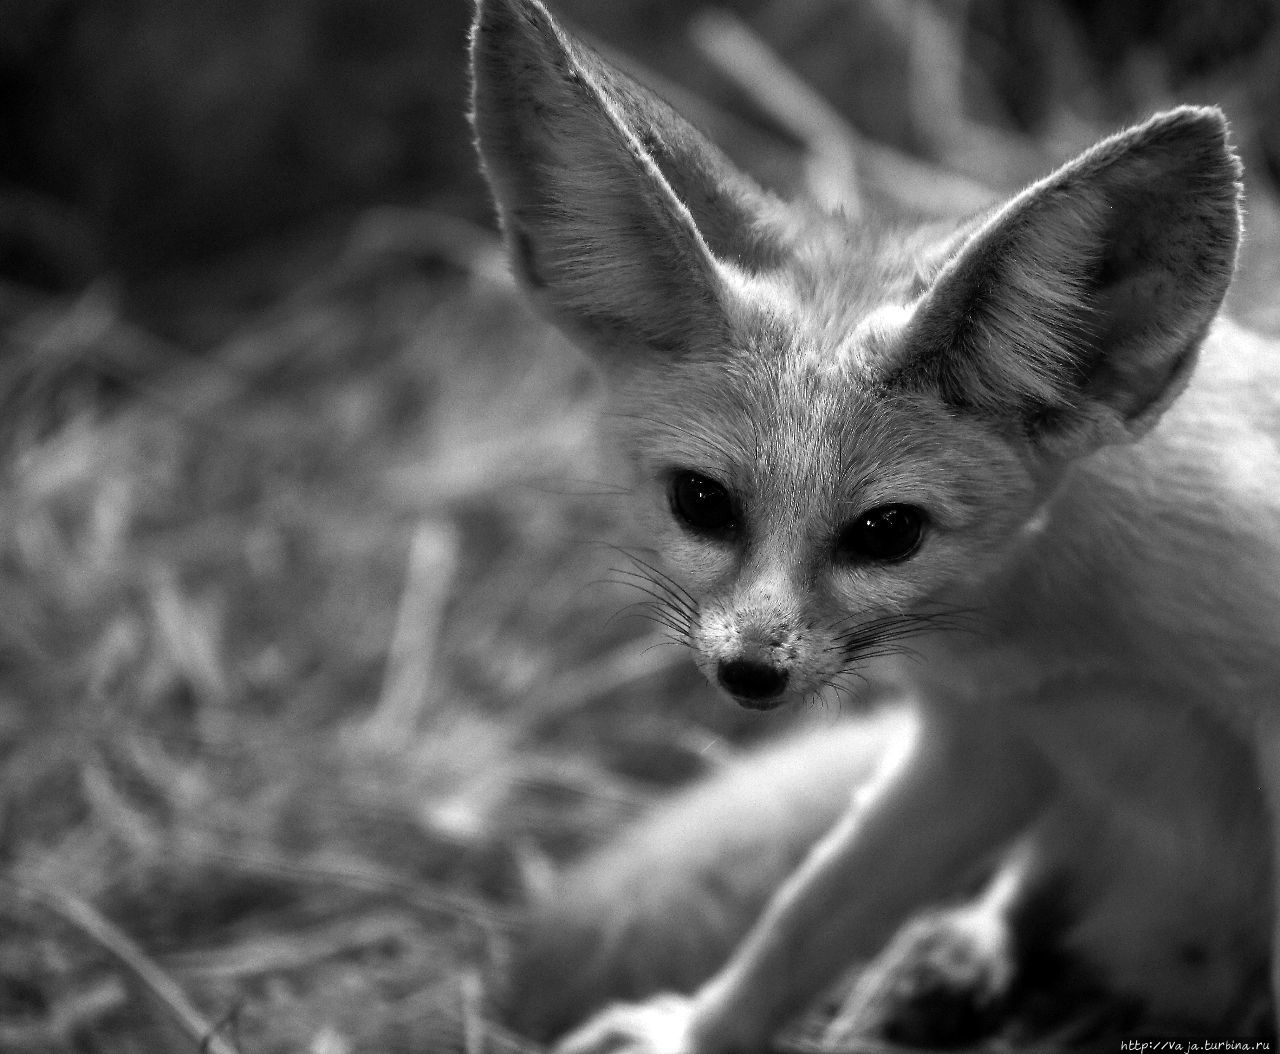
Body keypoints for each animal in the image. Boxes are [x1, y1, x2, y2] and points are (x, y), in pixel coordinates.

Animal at [471, 0, 1280, 1045]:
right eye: (701, 502)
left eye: (887, 532)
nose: (750, 672)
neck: (1068, 641)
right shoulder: (982, 745)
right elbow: (806, 916)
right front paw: (698, 1033)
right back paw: (951, 959)